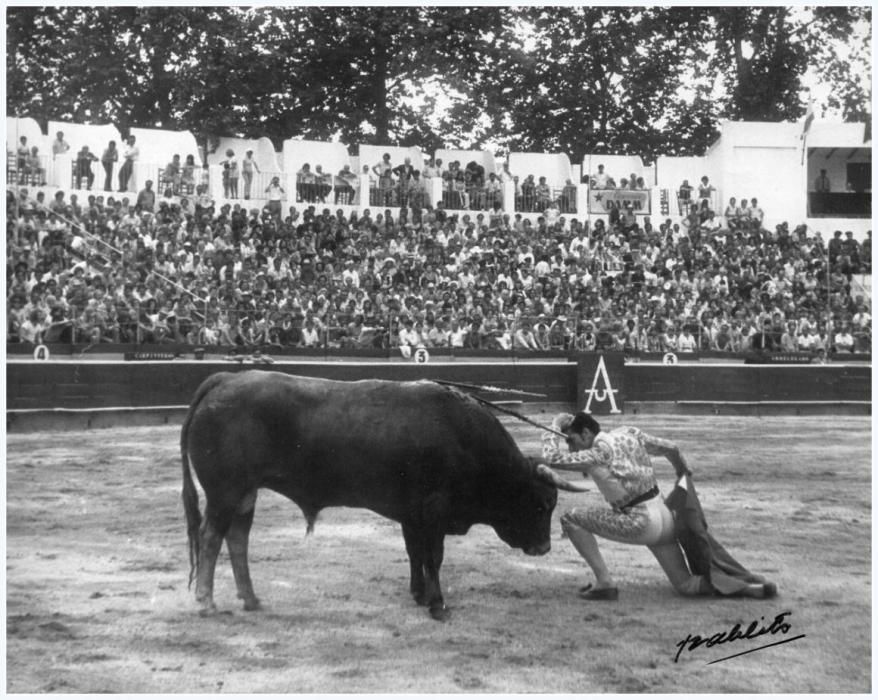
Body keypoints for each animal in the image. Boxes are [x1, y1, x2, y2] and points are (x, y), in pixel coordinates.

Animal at [182, 370, 584, 620]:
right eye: (542, 504)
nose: (544, 548)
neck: (465, 439)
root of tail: (226, 379)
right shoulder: (433, 513)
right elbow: (433, 557)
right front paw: (438, 605)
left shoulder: (412, 515)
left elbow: (415, 554)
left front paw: (419, 594)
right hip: (225, 492)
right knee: (210, 537)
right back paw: (205, 603)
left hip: (245, 494)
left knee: (236, 538)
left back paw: (251, 599)